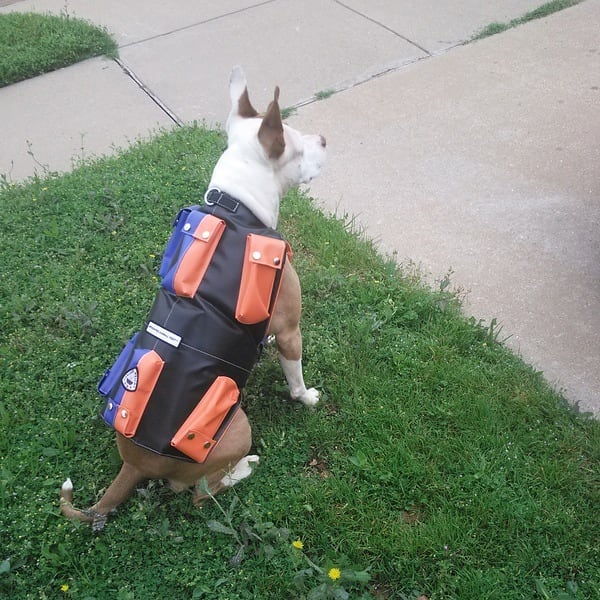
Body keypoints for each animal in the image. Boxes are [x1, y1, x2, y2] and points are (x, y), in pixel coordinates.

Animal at [58, 65, 326, 528]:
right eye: (296, 144)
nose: (325, 140)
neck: (235, 207)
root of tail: (134, 465)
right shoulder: (293, 328)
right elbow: (295, 378)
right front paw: (306, 397)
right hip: (235, 427)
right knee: (200, 494)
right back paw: (245, 468)